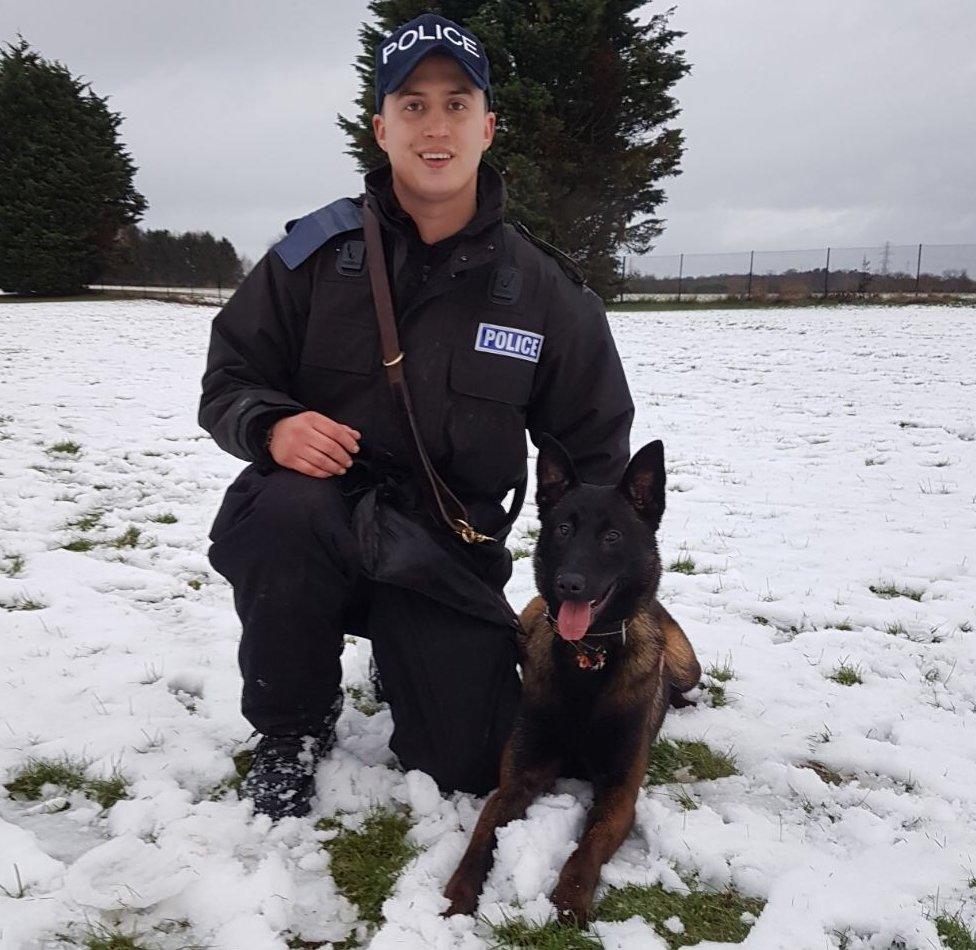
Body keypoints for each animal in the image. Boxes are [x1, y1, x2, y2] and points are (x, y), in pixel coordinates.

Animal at [442, 436, 700, 924]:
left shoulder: (620, 792)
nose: (569, 585)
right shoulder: (520, 774)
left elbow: (588, 848)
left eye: (612, 537)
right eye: (563, 529)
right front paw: (458, 894)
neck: (588, 661)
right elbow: (484, 830)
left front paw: (569, 900)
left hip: (686, 664)